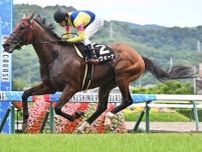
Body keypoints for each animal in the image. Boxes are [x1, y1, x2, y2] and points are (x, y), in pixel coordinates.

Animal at [2, 13, 195, 132]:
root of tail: (139, 56)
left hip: (123, 77)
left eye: (22, 27)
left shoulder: (71, 87)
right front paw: (25, 122)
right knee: (102, 106)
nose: (5, 44)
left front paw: (76, 115)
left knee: (127, 101)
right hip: (106, 84)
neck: (56, 55)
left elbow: (57, 108)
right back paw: (84, 126)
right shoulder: (49, 86)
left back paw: (107, 118)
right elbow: (25, 94)